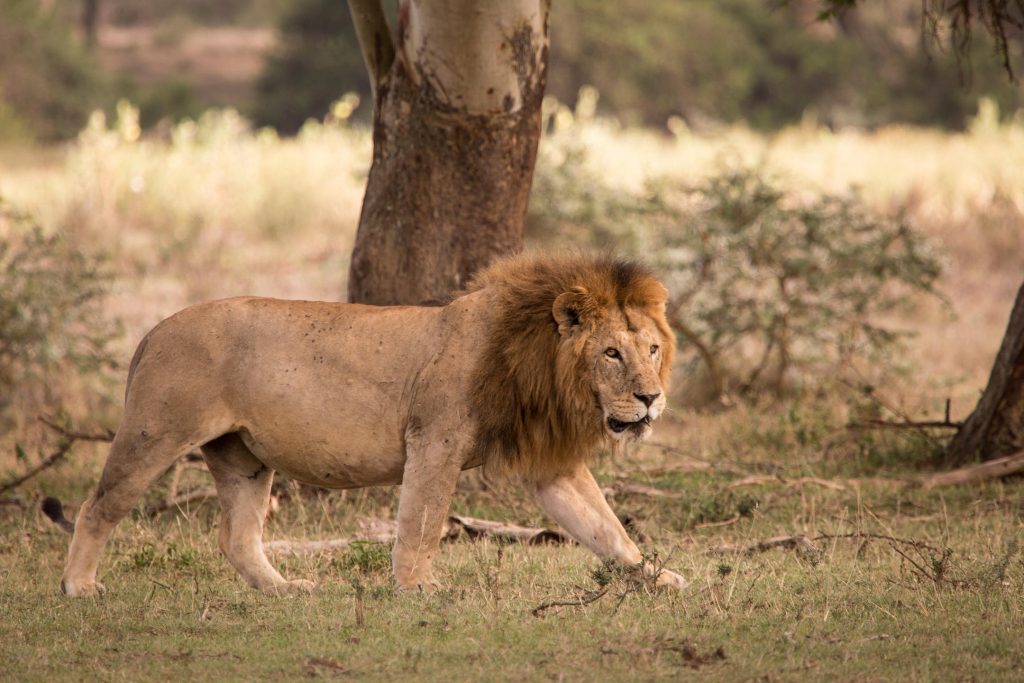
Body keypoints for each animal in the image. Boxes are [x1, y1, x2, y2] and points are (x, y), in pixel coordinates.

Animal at [49, 253, 688, 593]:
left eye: (652, 349)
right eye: (612, 354)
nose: (650, 399)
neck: (532, 361)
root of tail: (154, 329)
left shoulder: (551, 469)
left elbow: (606, 528)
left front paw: (657, 579)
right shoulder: (435, 440)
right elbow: (422, 522)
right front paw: (417, 588)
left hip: (242, 456)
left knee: (236, 538)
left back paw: (285, 591)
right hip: (154, 433)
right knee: (96, 508)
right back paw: (78, 586)